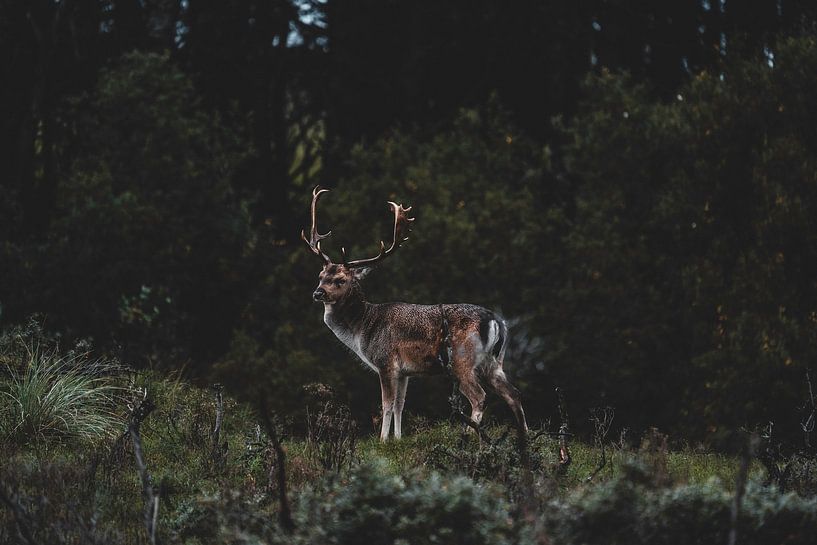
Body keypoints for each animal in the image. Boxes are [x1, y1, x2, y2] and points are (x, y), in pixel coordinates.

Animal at [302, 186, 528, 441]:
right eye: (320, 276)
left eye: (340, 280)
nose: (317, 293)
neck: (363, 329)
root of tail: (497, 321)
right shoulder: (405, 372)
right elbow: (400, 405)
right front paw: (398, 439)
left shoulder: (385, 362)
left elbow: (387, 404)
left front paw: (382, 440)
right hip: (494, 362)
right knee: (514, 394)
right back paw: (524, 441)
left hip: (462, 360)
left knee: (479, 397)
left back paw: (469, 436)